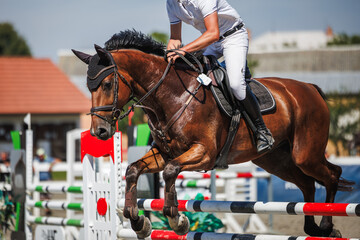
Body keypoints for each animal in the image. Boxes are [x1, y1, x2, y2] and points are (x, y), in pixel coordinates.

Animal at [71, 30, 352, 238]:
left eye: (108, 84)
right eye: (89, 87)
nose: (100, 131)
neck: (172, 94)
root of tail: (310, 88)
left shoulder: (204, 153)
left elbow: (170, 172)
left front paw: (177, 219)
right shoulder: (163, 153)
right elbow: (132, 170)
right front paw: (138, 221)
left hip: (305, 153)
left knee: (331, 175)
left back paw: (327, 225)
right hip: (276, 160)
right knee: (307, 183)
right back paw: (314, 228)